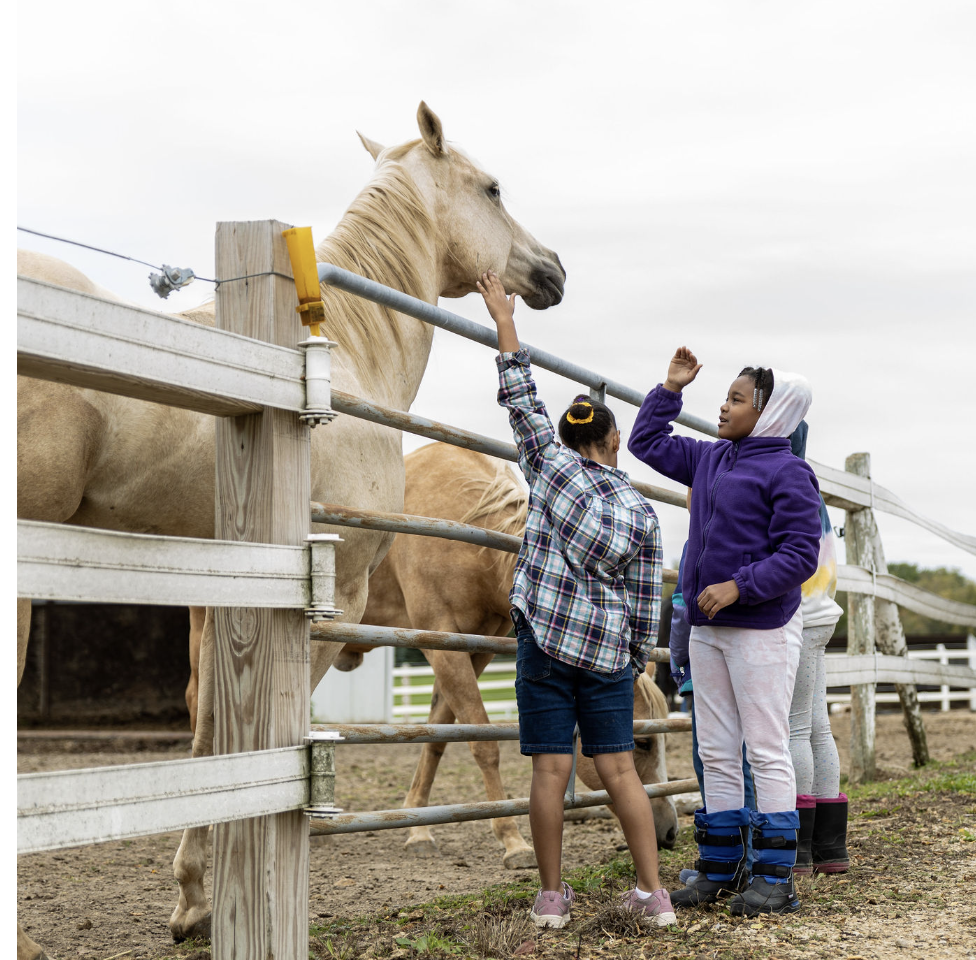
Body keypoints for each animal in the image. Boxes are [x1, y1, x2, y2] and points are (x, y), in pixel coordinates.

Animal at [16, 102, 565, 954]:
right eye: (493, 188)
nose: (553, 270)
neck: (333, 359)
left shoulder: (223, 594)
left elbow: (213, 734)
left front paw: (194, 901)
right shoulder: (332, 606)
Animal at [334, 442, 679, 865]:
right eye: (642, 743)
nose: (670, 831)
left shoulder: (473, 648)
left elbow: (436, 738)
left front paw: (418, 829)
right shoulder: (440, 640)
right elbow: (484, 745)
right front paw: (513, 841)